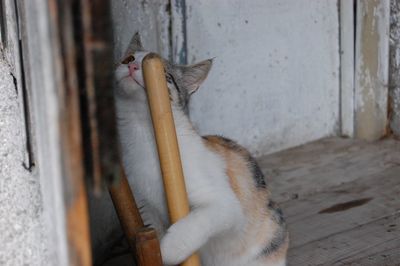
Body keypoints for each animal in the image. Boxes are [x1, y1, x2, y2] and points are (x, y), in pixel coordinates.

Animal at [108, 33, 288, 266]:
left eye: (166, 75)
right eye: (128, 58)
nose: (132, 66)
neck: (144, 136)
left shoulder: (223, 203)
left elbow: (198, 221)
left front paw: (169, 248)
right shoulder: (144, 206)